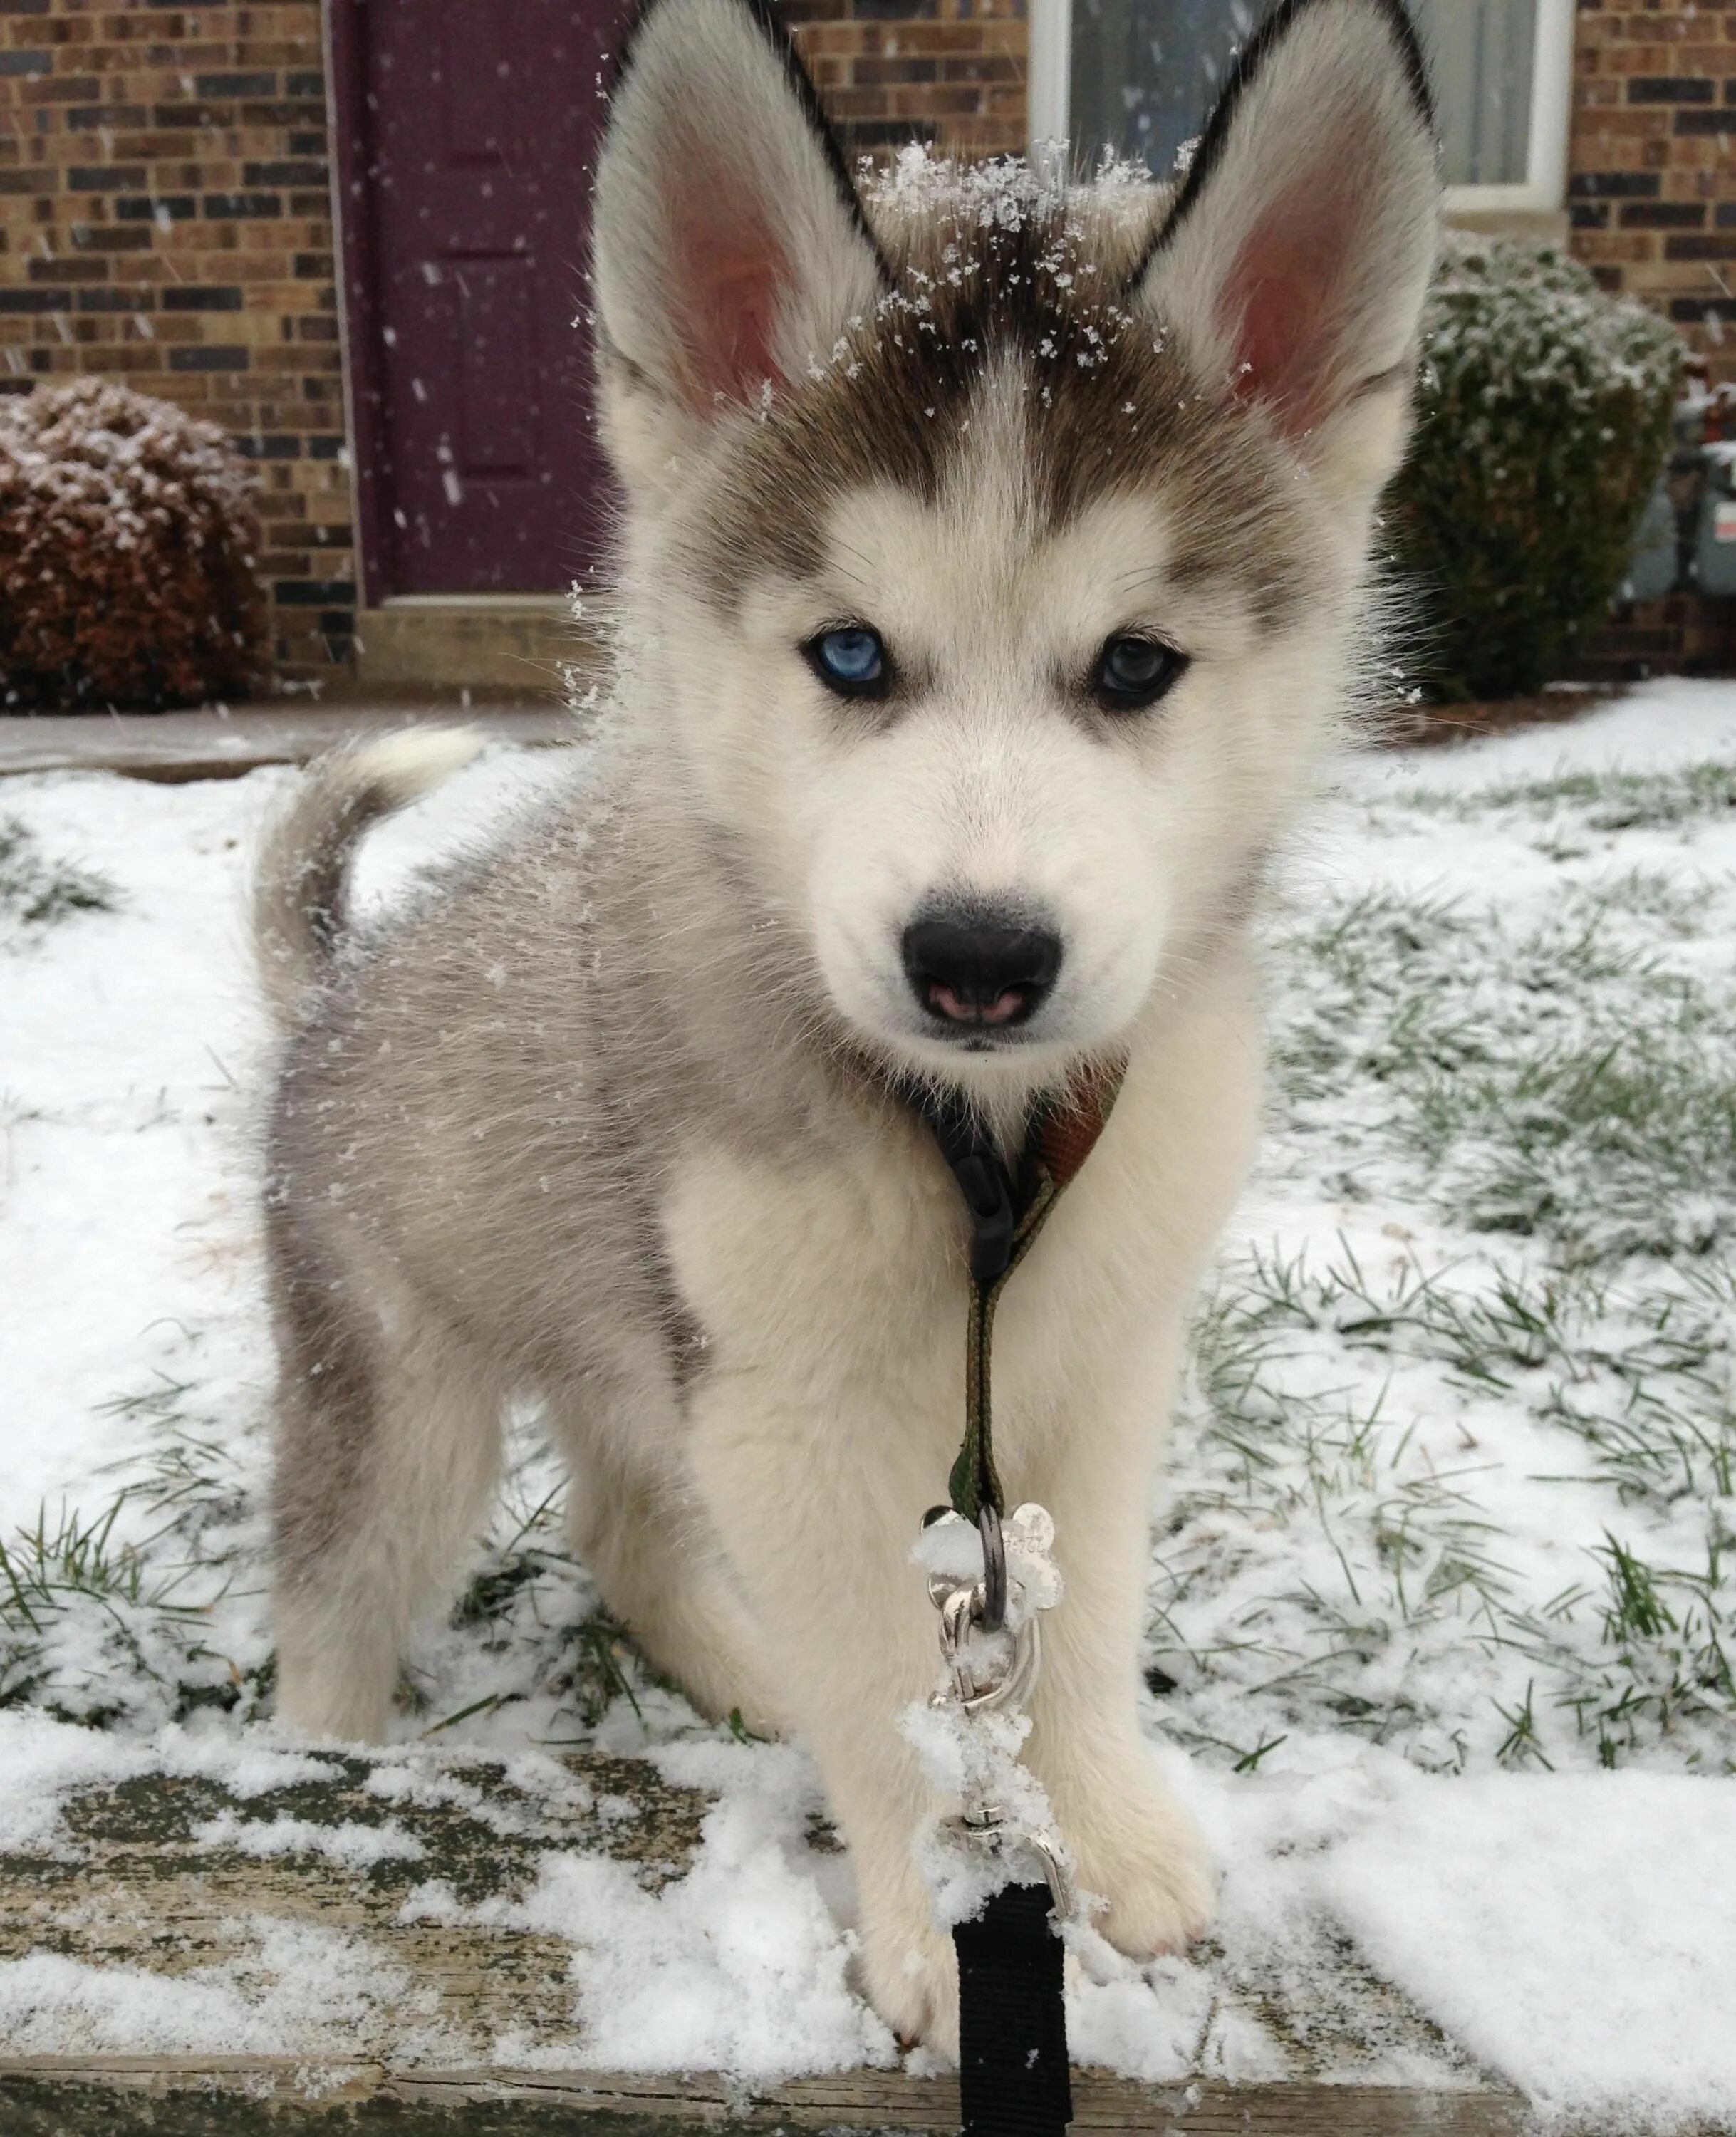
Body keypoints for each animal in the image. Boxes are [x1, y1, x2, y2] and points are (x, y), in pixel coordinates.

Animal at [257, 0, 1436, 2043]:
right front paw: (948, 1937)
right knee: (337, 1592)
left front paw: (1108, 1834)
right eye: (850, 657)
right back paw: (327, 1767)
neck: (979, 1146)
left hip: (637, 1350)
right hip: (414, 1393)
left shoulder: (1100, 1355)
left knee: (623, 1528)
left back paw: (730, 1668)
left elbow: (1074, 1629)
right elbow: (894, 1706)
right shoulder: (790, 1405)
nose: (976, 957)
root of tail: (334, 986)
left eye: (1136, 665)